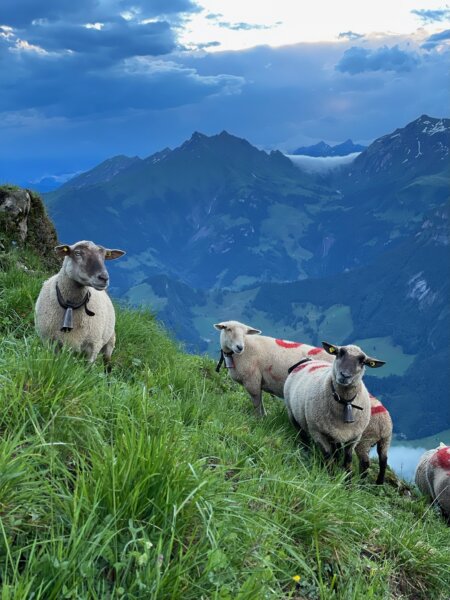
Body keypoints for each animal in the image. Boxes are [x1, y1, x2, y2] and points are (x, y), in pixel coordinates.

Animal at [284, 342, 384, 474]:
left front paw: (347, 478)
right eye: (339, 353)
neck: (346, 403)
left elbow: (348, 460)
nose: (345, 375)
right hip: (293, 415)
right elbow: (328, 457)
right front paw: (330, 476)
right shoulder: (318, 432)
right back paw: (306, 453)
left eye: (362, 362)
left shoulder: (354, 437)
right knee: (303, 437)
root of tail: (309, 361)